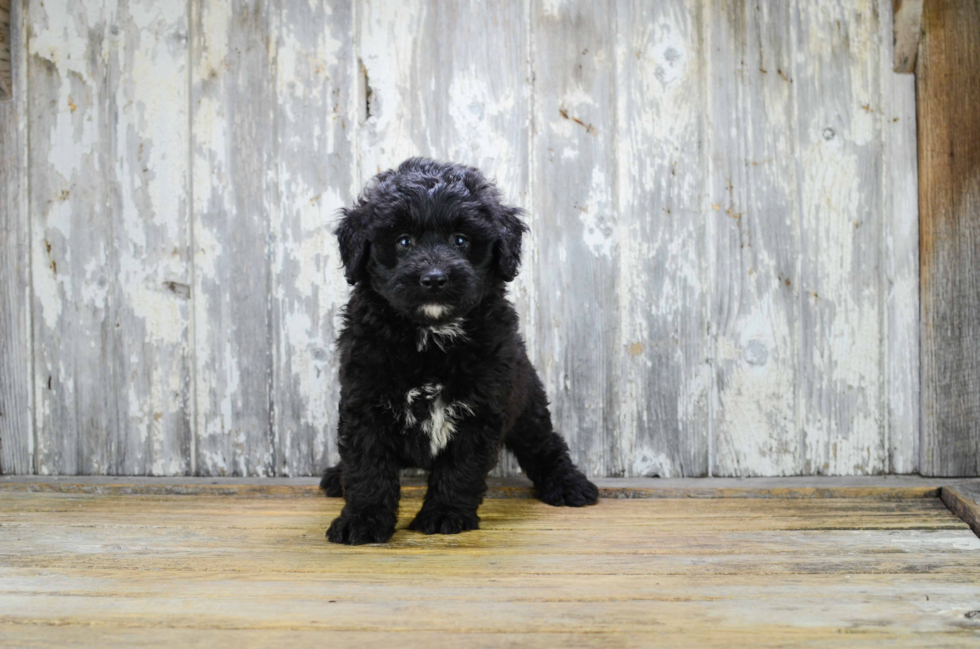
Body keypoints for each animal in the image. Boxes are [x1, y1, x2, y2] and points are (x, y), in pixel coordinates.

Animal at [324, 159, 596, 544]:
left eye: (461, 240)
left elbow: (460, 467)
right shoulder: (364, 399)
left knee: (545, 445)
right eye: (403, 241)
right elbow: (367, 465)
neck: (431, 336)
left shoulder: (482, 404)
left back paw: (569, 483)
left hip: (526, 402)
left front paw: (444, 514)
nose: (435, 279)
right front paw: (362, 518)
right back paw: (337, 475)